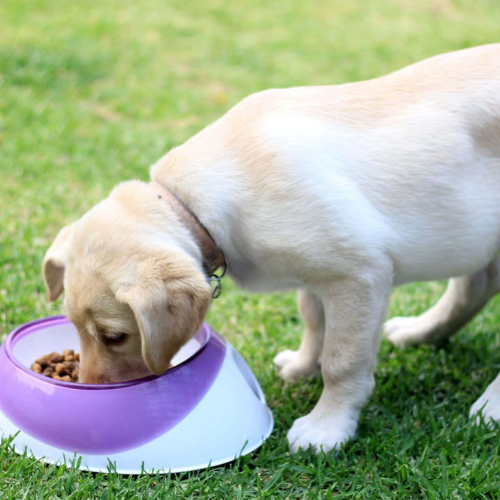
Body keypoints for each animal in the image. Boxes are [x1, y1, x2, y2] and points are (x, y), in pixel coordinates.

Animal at [43, 45, 500, 454]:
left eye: (114, 336)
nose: (88, 389)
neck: (195, 206)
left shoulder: (359, 274)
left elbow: (342, 360)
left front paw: (327, 428)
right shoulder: (320, 274)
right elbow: (314, 321)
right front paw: (301, 366)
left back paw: (491, 407)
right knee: (471, 288)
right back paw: (420, 331)